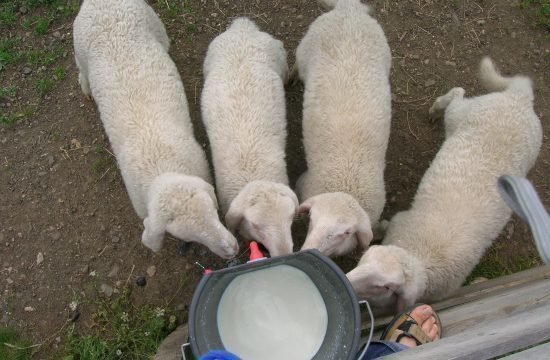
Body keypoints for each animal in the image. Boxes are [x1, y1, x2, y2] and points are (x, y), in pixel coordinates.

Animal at [72, 0, 238, 258]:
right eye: (192, 236)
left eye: (215, 213)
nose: (232, 250)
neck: (161, 165)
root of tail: (100, 2)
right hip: (80, 49)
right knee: (82, 69)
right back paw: (86, 88)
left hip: (152, 22)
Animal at [294, 0, 392, 256]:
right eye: (312, 219)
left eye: (346, 232)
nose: (308, 250)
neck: (346, 185)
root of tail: (350, 8)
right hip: (304, 50)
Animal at [350, 57, 544, 312]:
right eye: (363, 260)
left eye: (383, 286)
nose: (346, 280)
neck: (422, 255)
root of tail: (519, 99)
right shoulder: (400, 221)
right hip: (463, 113)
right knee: (458, 94)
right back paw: (436, 108)